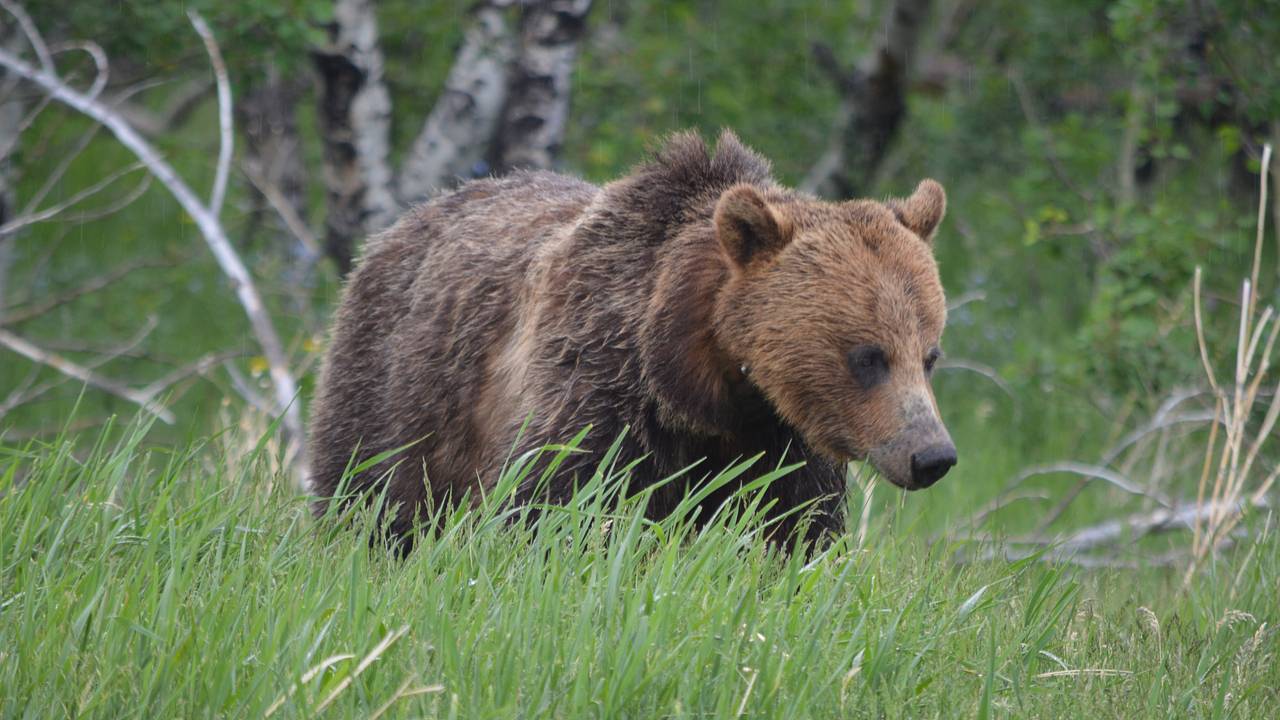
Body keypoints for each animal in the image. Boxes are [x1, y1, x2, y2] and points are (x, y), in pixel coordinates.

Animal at [307, 130, 956, 545]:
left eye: (929, 355)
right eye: (867, 356)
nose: (932, 455)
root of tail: (409, 217)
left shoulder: (778, 439)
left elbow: (792, 530)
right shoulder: (597, 388)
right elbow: (556, 508)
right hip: (399, 387)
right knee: (372, 497)